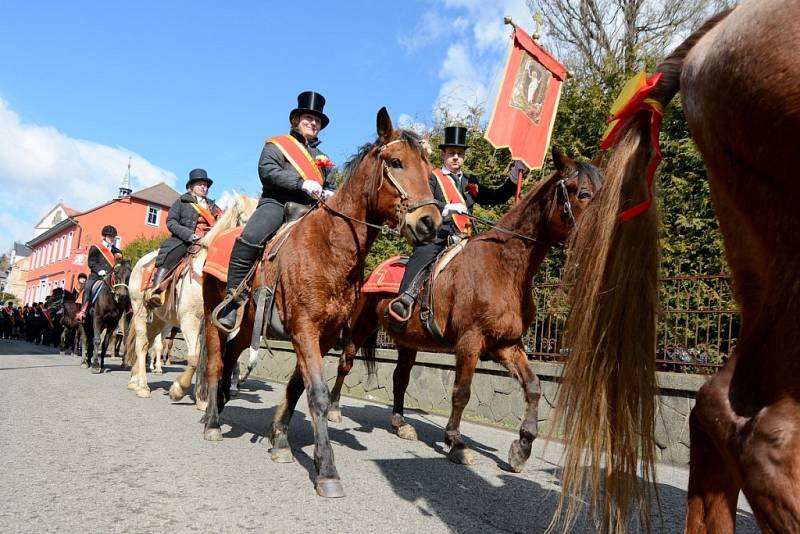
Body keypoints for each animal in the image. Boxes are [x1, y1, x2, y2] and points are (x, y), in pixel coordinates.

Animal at [125, 195, 256, 408]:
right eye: (245, 220)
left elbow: (208, 359)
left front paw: (203, 400)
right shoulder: (190, 320)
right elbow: (194, 358)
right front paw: (178, 390)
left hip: (159, 319)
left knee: (150, 342)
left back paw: (135, 380)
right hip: (140, 310)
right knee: (142, 344)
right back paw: (143, 387)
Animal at [198, 107, 440, 500]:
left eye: (429, 170)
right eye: (396, 162)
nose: (430, 223)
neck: (329, 246)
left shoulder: (322, 336)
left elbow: (298, 388)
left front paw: (281, 441)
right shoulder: (305, 329)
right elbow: (319, 394)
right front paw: (326, 469)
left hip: (249, 325)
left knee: (233, 356)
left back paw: (219, 407)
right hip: (212, 317)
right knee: (218, 363)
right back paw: (212, 422)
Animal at [326, 147, 600, 474]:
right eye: (583, 193)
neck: (504, 267)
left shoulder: (508, 345)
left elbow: (533, 387)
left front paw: (522, 446)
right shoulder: (470, 343)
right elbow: (462, 393)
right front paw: (456, 443)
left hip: (407, 342)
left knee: (400, 378)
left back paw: (401, 423)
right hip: (361, 325)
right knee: (345, 362)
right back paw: (333, 408)